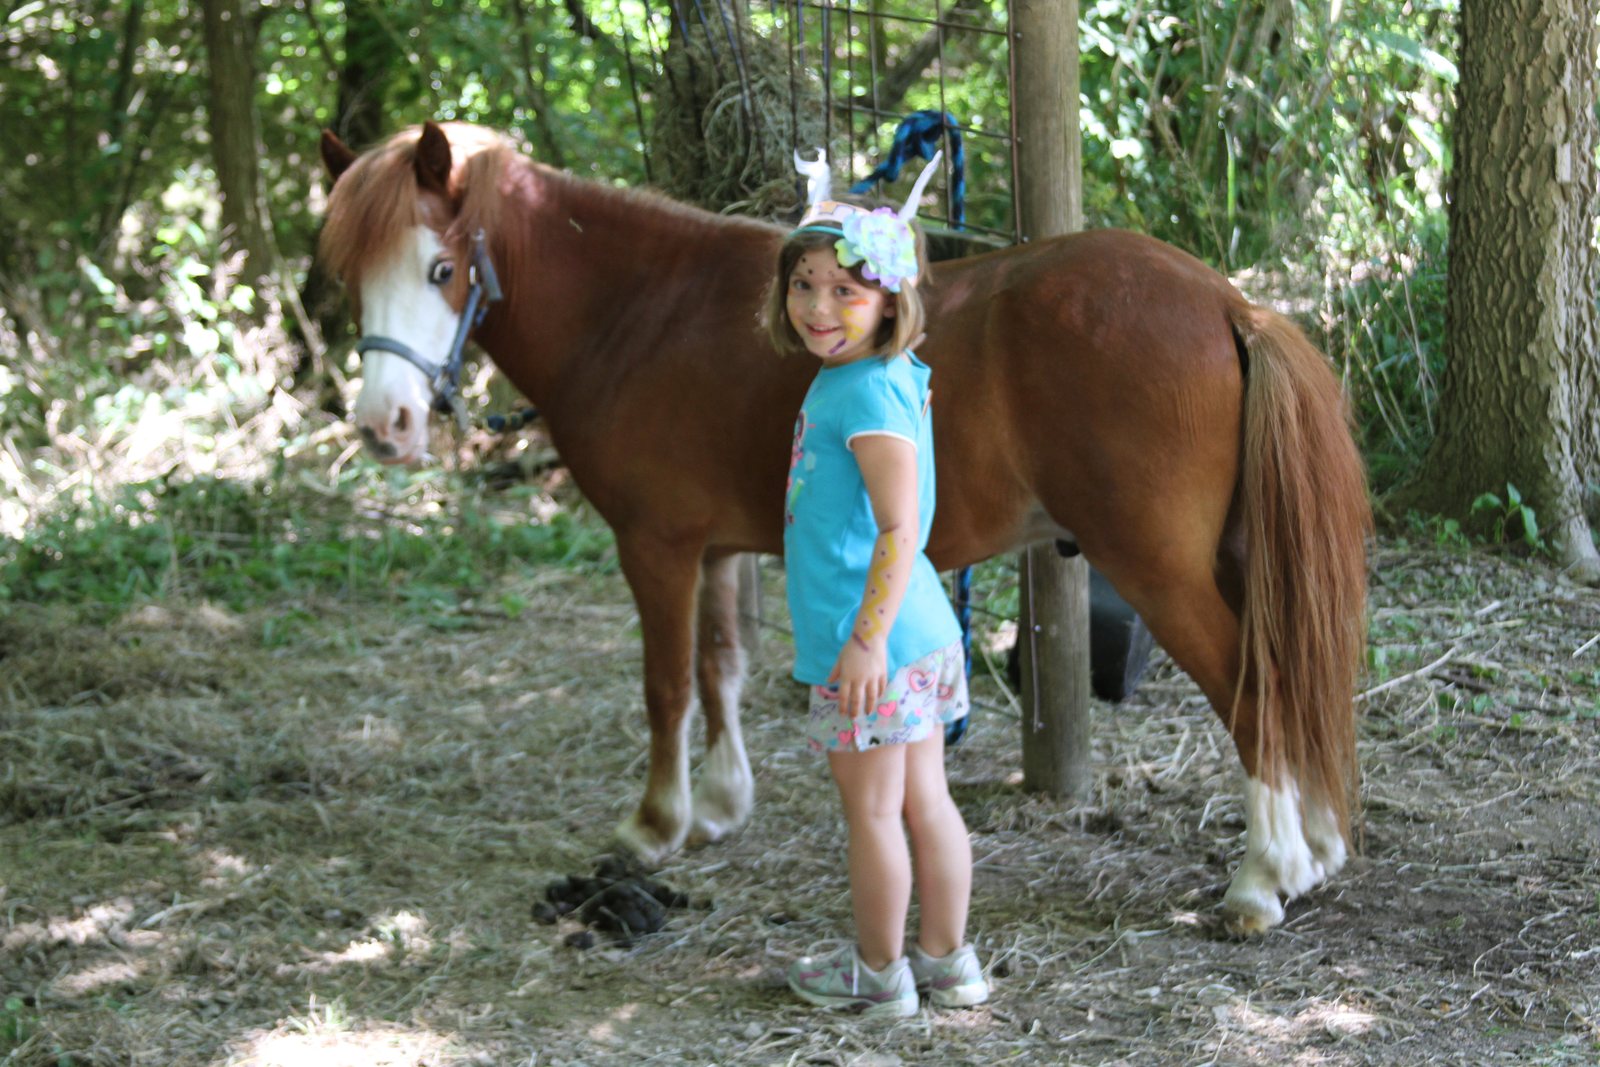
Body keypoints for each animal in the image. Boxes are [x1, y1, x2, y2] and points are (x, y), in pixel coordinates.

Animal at [316, 121, 1370, 934]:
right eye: (350, 277)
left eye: (443, 267)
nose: (383, 425)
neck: (641, 313)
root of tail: (1227, 302)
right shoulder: (716, 547)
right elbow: (721, 667)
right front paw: (720, 807)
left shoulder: (655, 544)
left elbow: (667, 685)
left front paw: (654, 826)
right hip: (1228, 558)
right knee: (1287, 677)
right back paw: (1313, 849)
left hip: (1158, 566)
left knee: (1251, 688)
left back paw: (1260, 881)